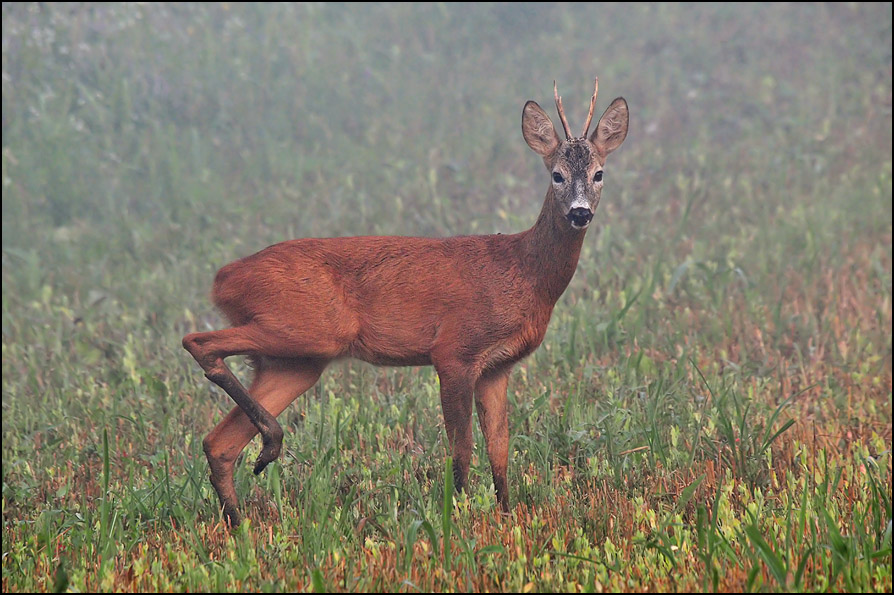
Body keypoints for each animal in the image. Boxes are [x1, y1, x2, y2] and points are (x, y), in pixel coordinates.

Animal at [182, 78, 632, 528]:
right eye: (557, 175)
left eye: (599, 174)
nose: (579, 213)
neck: (523, 272)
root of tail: (224, 278)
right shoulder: (453, 350)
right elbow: (461, 450)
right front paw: (457, 517)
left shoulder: (497, 367)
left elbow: (500, 451)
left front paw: (507, 519)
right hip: (306, 328)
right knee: (198, 342)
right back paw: (271, 443)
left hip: (297, 360)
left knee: (218, 441)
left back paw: (240, 519)